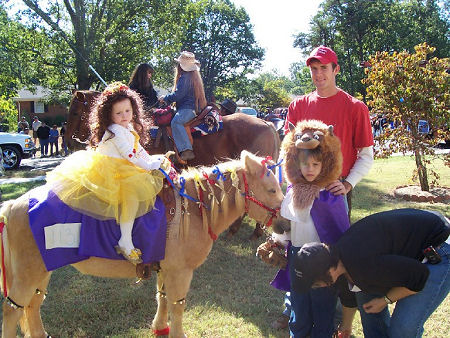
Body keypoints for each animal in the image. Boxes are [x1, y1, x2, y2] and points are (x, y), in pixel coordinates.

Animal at [0, 151, 284, 338]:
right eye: (272, 190)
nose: (285, 224)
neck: (193, 210)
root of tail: (13, 205)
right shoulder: (181, 272)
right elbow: (178, 305)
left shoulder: (166, 270)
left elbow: (163, 298)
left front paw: (160, 327)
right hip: (27, 274)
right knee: (12, 310)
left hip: (41, 271)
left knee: (33, 305)